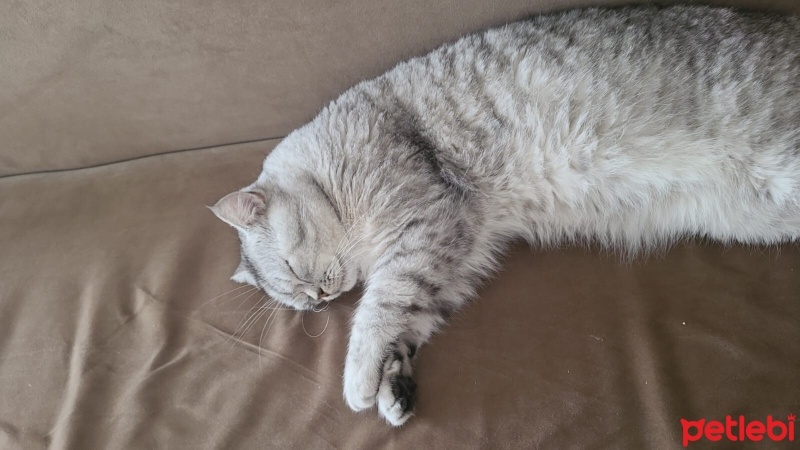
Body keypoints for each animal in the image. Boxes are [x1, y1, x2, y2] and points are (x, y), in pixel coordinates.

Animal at [211, 4, 800, 426]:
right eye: (298, 303)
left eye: (294, 270)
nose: (320, 298)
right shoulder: (459, 253)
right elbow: (410, 318)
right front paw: (392, 387)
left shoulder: (427, 224)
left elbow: (379, 306)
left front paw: (358, 380)